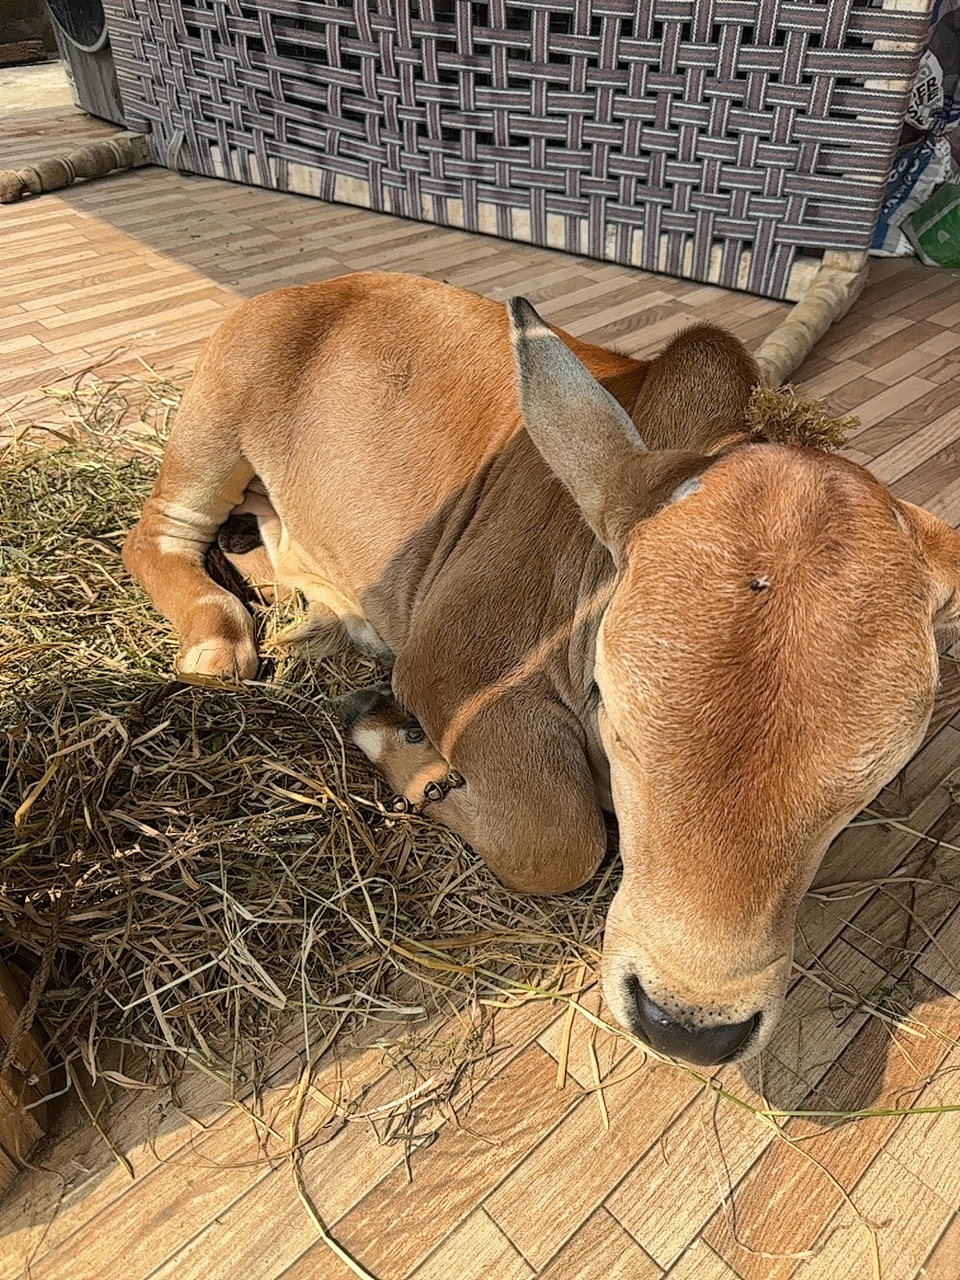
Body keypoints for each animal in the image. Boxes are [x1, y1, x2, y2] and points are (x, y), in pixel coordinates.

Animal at [123, 271, 960, 1067]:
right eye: (617, 722)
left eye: (866, 785)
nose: (690, 1028)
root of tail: (313, 290)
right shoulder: (449, 668)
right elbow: (559, 841)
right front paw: (403, 752)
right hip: (213, 428)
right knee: (157, 532)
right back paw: (220, 640)